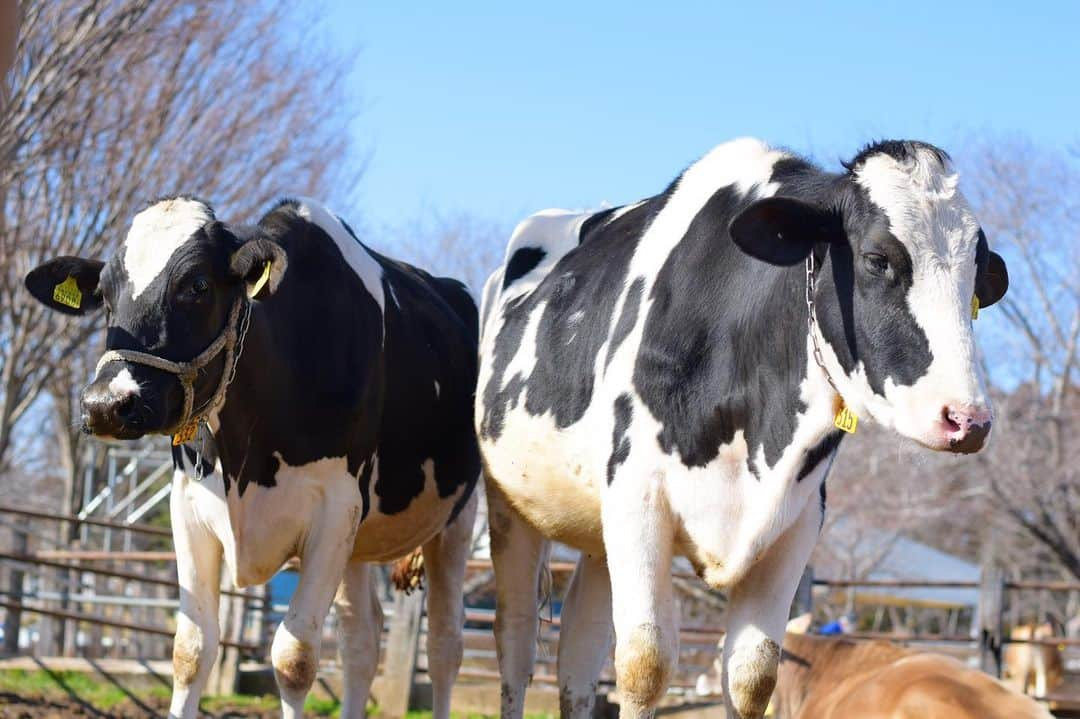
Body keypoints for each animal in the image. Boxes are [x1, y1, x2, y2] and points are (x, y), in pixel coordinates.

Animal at [24, 196, 481, 716]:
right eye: (103, 294)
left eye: (198, 284)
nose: (105, 403)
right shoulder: (190, 507)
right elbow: (191, 650)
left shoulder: (335, 508)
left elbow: (294, 658)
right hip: (360, 540)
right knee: (361, 638)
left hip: (458, 519)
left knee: (444, 644)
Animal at [477, 138, 1006, 716]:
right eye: (877, 259)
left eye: (975, 284)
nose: (968, 419)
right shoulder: (638, 498)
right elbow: (644, 664)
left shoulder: (796, 524)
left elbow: (752, 675)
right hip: (511, 506)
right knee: (516, 642)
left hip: (598, 535)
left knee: (579, 649)